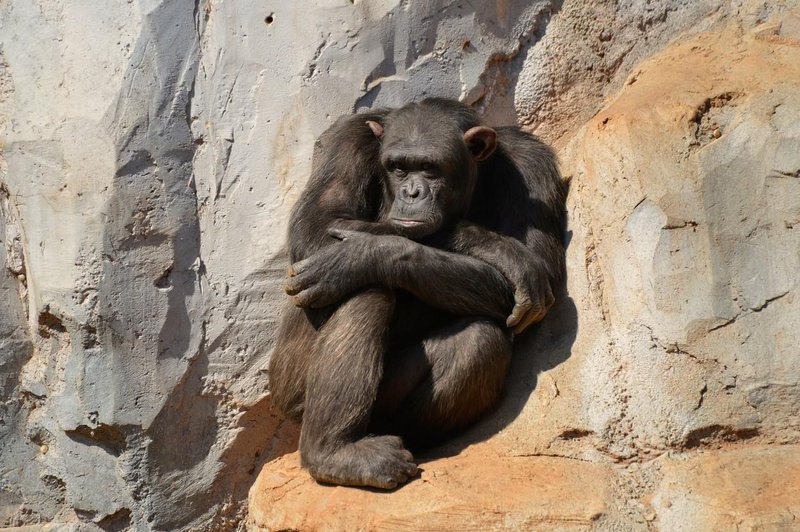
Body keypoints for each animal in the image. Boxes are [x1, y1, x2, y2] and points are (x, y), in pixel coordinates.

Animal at [268, 97, 568, 488]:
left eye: (429, 168)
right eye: (398, 168)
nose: (411, 192)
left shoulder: (533, 165)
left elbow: (538, 270)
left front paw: (364, 254)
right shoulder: (348, 139)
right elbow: (319, 225)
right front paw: (496, 247)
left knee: (480, 340)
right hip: (291, 391)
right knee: (367, 290)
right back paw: (335, 454)